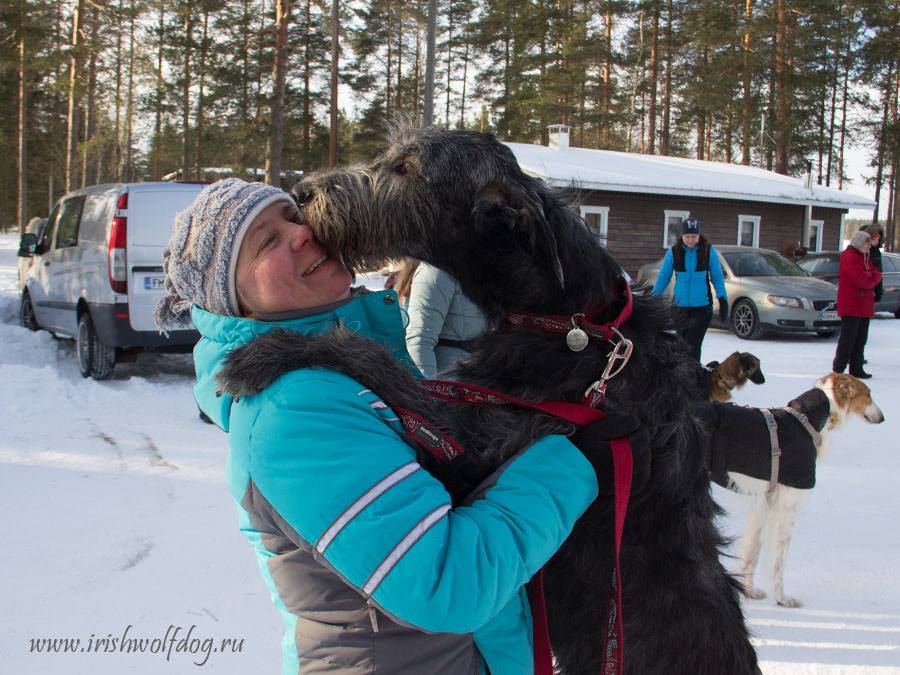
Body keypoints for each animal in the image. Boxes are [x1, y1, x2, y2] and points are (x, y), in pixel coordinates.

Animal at [712, 372, 884, 608]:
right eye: (868, 394)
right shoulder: (786, 507)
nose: (882, 417)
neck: (805, 421)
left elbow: (751, 553)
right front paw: (782, 598)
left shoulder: (764, 503)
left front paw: (748, 590)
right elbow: (779, 561)